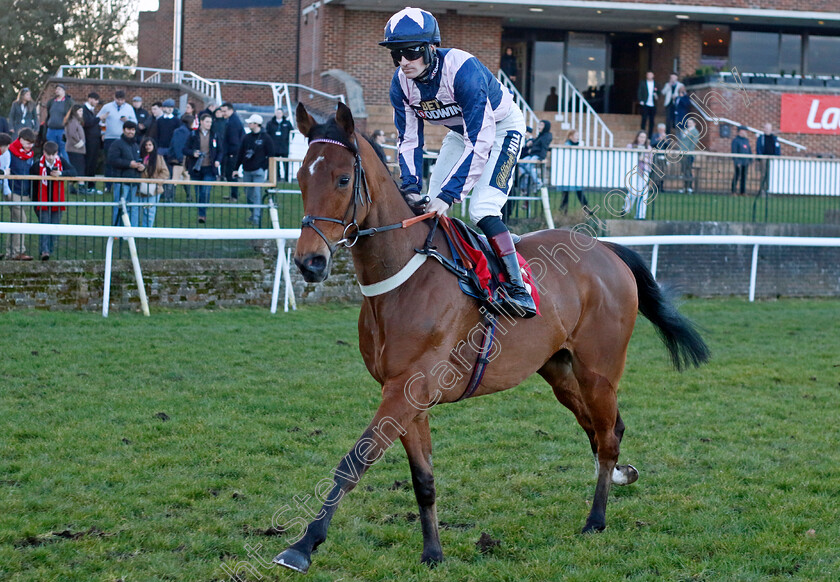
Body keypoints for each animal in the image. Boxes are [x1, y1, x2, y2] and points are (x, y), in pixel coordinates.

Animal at [276, 101, 708, 576]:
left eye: (342, 179)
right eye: (301, 178)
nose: (310, 262)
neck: (401, 278)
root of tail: (607, 249)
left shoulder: (406, 389)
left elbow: (354, 461)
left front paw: (302, 545)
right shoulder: (406, 394)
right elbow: (423, 479)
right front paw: (433, 552)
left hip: (599, 369)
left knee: (608, 435)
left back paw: (596, 520)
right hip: (558, 368)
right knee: (602, 427)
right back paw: (620, 476)